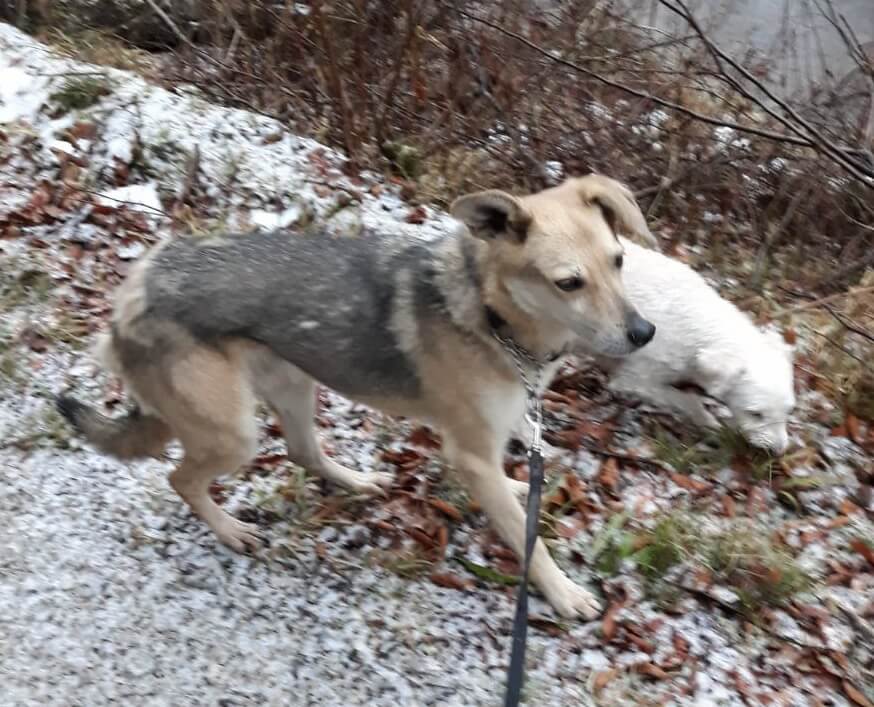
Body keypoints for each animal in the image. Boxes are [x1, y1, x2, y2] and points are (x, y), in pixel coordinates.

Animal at [56, 174, 656, 620]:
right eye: (568, 283)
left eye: (619, 261)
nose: (644, 333)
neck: (494, 314)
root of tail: (131, 295)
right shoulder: (469, 450)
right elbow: (525, 539)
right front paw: (562, 592)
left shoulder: (496, 432)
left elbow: (510, 487)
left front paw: (517, 487)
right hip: (233, 431)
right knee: (181, 479)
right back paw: (230, 531)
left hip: (293, 382)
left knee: (302, 451)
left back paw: (356, 482)